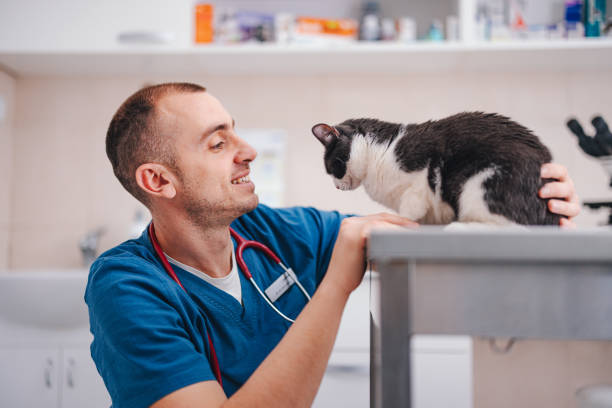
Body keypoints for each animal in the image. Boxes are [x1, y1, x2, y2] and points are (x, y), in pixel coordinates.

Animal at [314, 112, 560, 226]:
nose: (336, 187)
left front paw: (396, 222)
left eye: (332, 167)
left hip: (482, 182)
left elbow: (410, 207)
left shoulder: (419, 179)